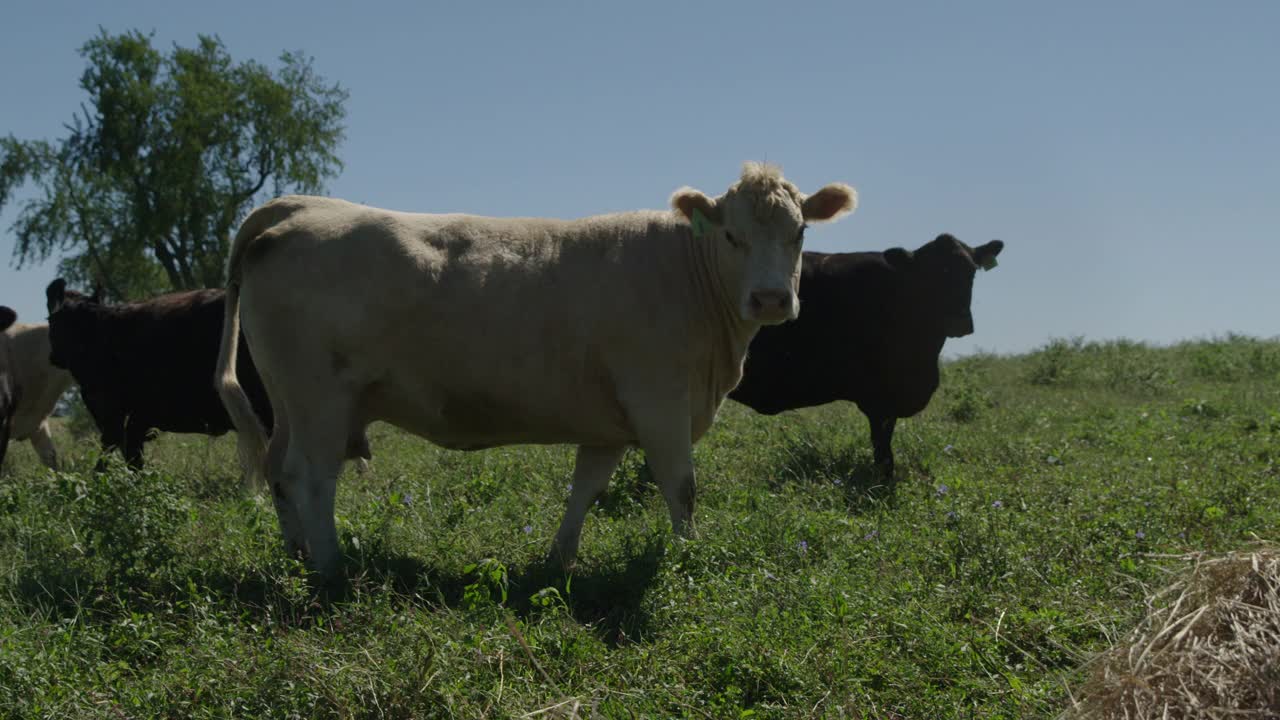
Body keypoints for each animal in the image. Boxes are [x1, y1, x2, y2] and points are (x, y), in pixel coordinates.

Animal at [217, 163, 860, 576]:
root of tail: (303, 208)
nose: (772, 299)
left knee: (278, 470)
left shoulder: (609, 421)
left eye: (800, 231)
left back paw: (298, 552)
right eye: (731, 235)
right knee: (311, 475)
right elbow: (682, 487)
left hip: (289, 401)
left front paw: (560, 557)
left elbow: (586, 489)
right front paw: (687, 555)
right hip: (320, 397)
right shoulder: (660, 402)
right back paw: (331, 568)